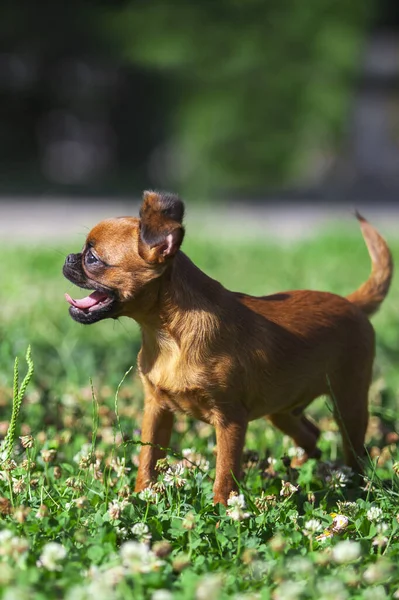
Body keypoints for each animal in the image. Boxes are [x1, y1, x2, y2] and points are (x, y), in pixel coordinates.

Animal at [63, 191, 394, 502]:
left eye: (93, 258)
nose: (68, 258)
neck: (169, 336)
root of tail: (352, 303)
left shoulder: (230, 420)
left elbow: (225, 472)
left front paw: (222, 509)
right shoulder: (157, 409)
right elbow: (148, 459)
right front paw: (141, 495)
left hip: (349, 404)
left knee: (354, 452)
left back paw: (351, 485)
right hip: (283, 410)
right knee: (312, 435)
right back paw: (298, 471)